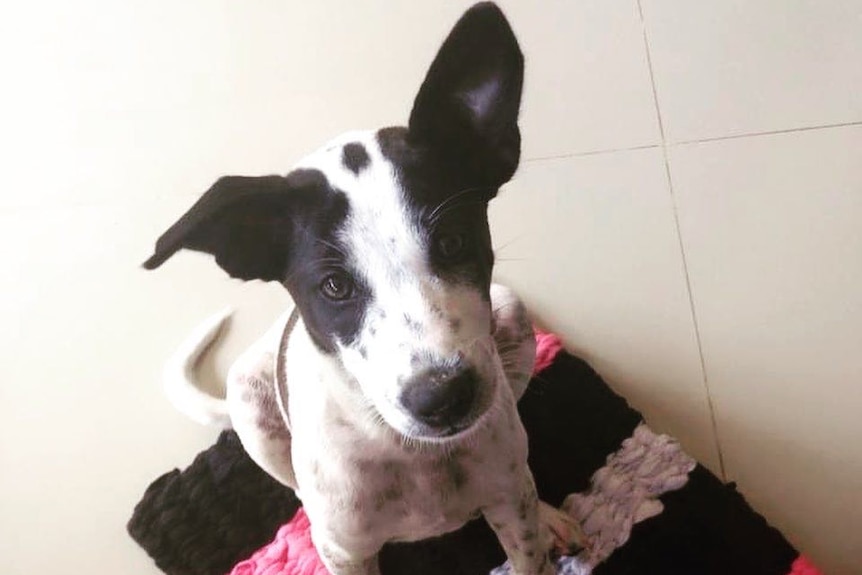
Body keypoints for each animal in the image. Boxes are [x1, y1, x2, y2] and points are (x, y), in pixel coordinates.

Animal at [145, 4, 588, 575]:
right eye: (334, 286)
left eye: (452, 241)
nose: (441, 398)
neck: (411, 452)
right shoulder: (348, 553)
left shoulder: (510, 505)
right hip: (249, 402)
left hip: (512, 317)